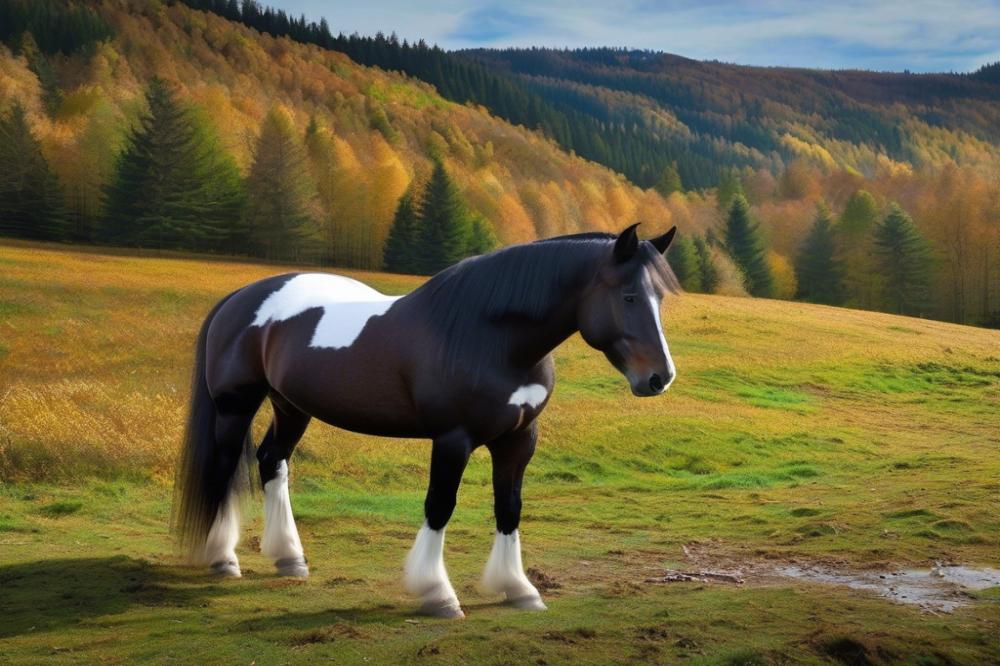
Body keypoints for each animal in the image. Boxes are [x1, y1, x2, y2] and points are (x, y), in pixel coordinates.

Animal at [174, 223, 680, 616]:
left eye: (660, 297)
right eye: (629, 296)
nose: (659, 377)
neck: (491, 336)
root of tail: (240, 298)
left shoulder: (519, 440)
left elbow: (509, 508)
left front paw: (518, 589)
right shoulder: (453, 439)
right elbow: (440, 506)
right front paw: (438, 594)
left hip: (291, 406)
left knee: (271, 462)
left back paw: (290, 559)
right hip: (235, 405)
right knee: (224, 467)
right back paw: (223, 559)